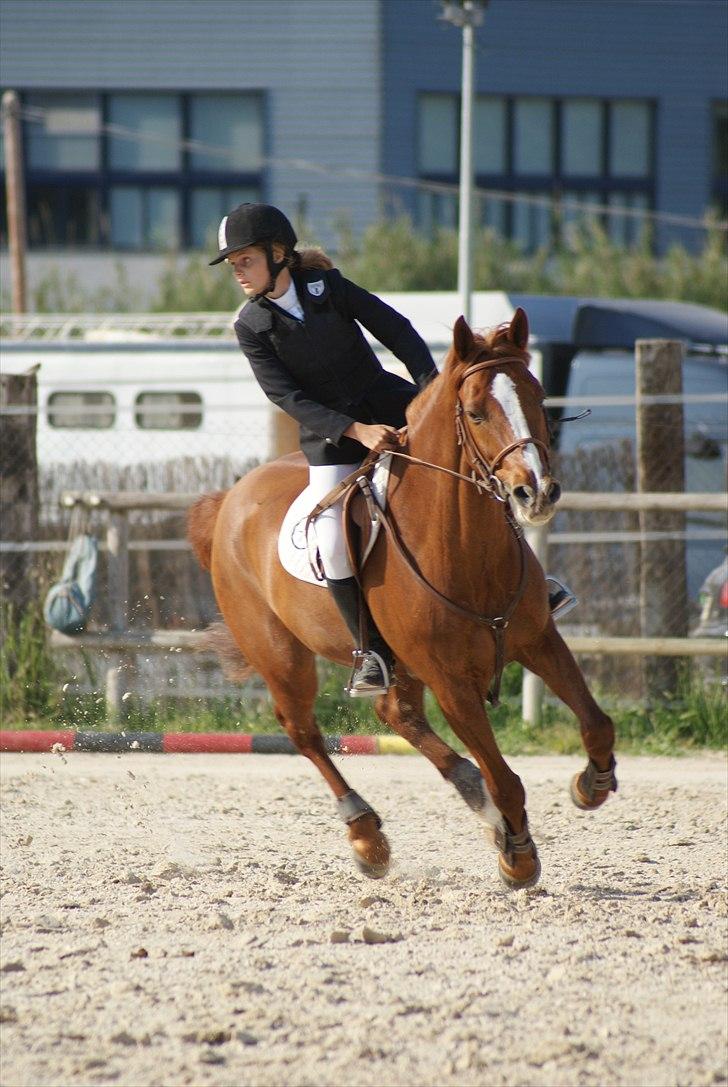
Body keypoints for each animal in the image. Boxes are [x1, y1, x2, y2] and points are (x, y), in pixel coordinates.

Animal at [187, 308, 617, 891]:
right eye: (476, 413)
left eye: (537, 394)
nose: (537, 493)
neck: (463, 544)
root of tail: (230, 499)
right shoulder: (452, 681)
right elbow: (506, 779)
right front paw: (518, 857)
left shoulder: (538, 640)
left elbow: (596, 724)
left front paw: (590, 784)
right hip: (281, 655)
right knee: (303, 730)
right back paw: (368, 836)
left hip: (399, 664)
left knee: (396, 713)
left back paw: (472, 797)